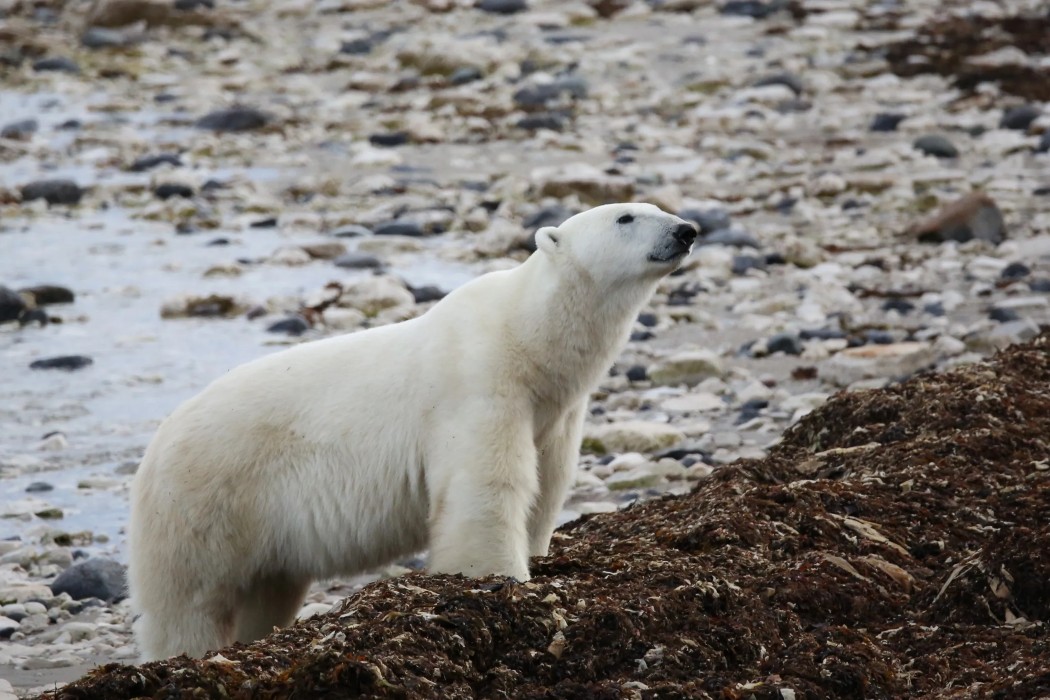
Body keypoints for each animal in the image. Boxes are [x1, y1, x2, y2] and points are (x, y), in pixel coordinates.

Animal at [128, 202, 698, 661]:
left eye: (656, 206)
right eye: (625, 217)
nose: (687, 229)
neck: (526, 339)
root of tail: (154, 448)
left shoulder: (555, 412)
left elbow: (548, 486)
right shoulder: (477, 384)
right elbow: (484, 490)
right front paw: (504, 583)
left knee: (269, 588)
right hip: (207, 501)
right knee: (190, 602)